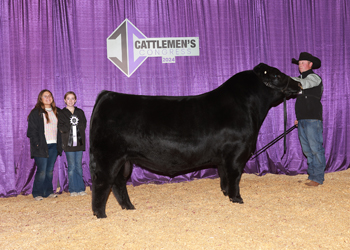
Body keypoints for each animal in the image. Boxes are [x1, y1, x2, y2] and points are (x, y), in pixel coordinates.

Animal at [89, 63, 300, 218]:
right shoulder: (236, 153)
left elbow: (224, 177)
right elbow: (234, 177)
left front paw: (225, 194)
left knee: (118, 183)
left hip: (124, 160)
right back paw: (101, 215)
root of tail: (108, 94)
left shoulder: (223, 158)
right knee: (102, 184)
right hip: (108, 157)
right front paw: (237, 199)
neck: (248, 108)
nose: (298, 84)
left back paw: (129, 207)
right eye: (277, 76)